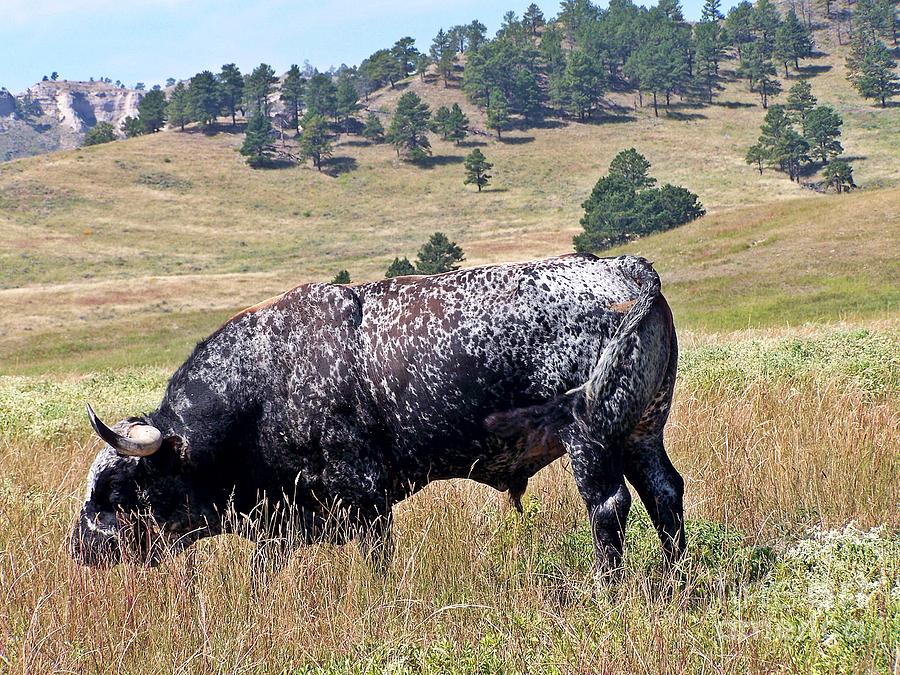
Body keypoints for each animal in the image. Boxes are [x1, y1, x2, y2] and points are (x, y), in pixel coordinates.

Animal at [74, 255, 684, 580]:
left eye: (116, 488)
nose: (80, 549)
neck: (263, 385)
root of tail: (623, 268)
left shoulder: (366, 493)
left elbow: (377, 558)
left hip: (590, 440)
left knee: (610, 506)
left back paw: (606, 588)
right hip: (642, 434)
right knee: (664, 494)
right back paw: (674, 580)